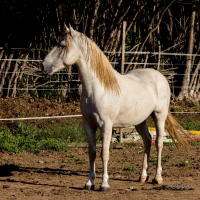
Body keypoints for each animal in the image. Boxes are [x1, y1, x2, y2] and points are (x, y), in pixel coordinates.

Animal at [41, 25, 190, 191]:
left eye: (62, 45)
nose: (43, 66)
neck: (98, 89)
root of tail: (160, 76)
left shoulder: (106, 125)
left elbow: (104, 153)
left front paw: (104, 184)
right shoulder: (88, 124)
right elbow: (92, 153)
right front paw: (89, 183)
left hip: (159, 116)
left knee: (158, 143)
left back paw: (157, 178)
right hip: (140, 121)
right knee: (147, 140)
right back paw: (143, 176)